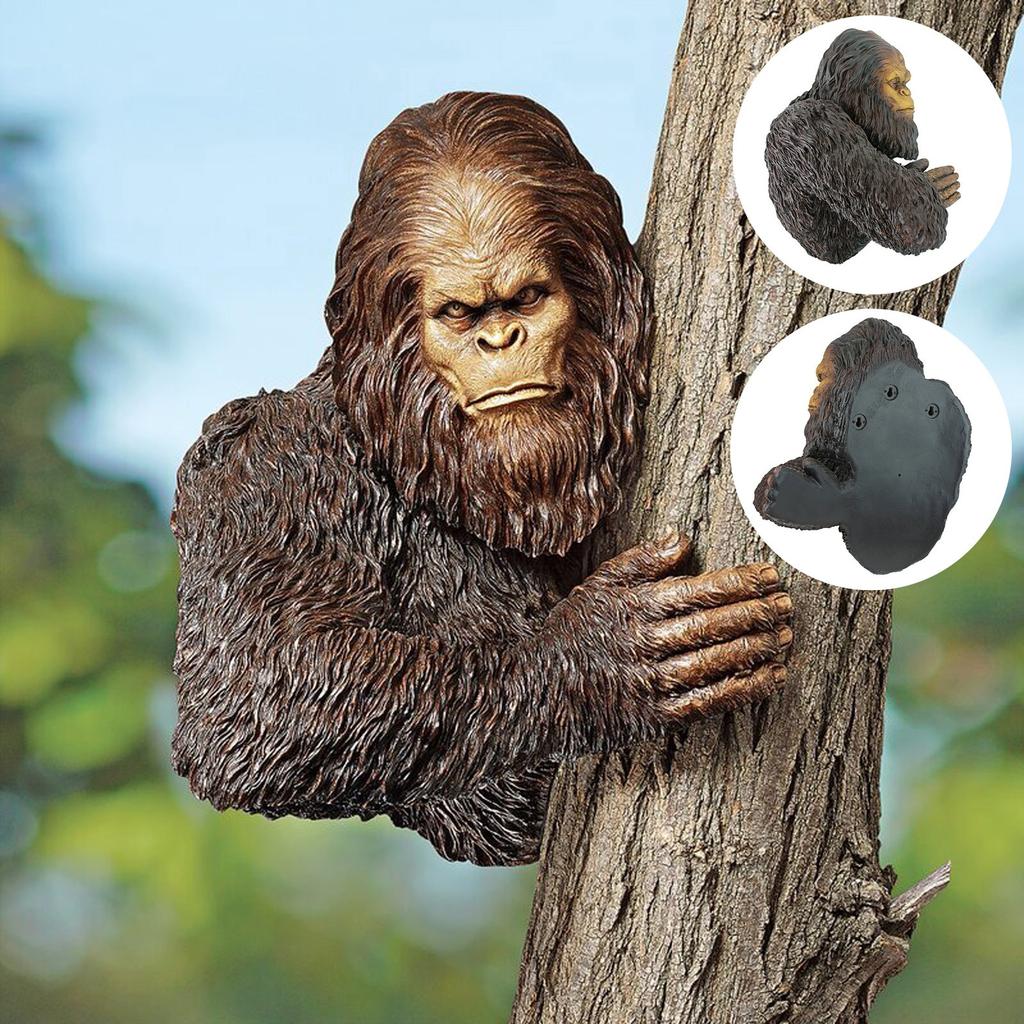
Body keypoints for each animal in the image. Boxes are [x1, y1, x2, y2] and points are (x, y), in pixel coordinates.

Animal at [170, 92, 794, 867]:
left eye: (527, 299)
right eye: (459, 313)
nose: (499, 341)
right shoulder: (262, 472)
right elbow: (251, 699)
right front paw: (598, 656)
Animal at [765, 28, 960, 264]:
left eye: (906, 82)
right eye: (895, 83)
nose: (906, 93)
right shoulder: (818, 125)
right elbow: (903, 217)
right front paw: (929, 187)